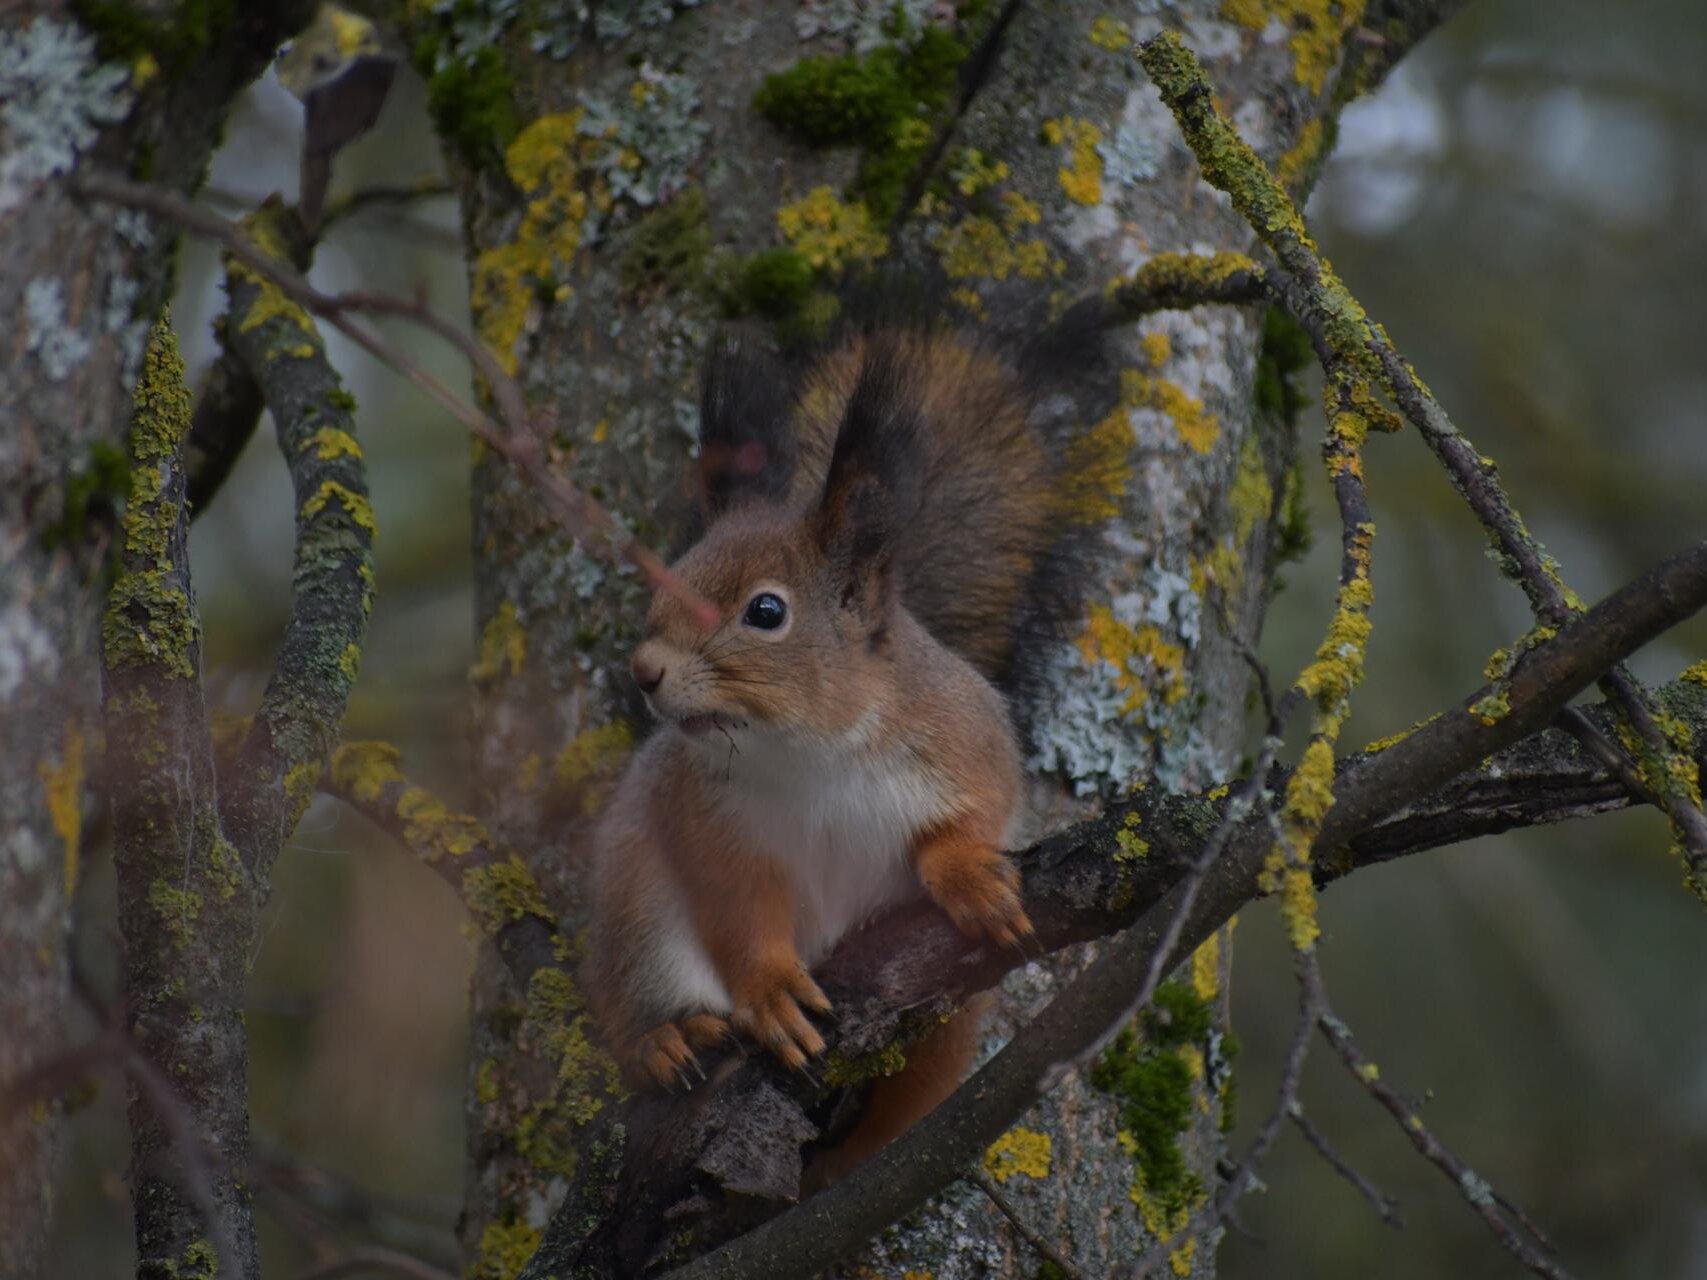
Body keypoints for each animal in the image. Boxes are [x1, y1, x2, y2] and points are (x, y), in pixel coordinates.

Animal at [587, 319, 1092, 1174]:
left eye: (765, 611)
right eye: (669, 576)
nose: (643, 671)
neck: (805, 750)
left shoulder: (963, 736)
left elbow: (981, 809)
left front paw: (968, 875)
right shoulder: (707, 822)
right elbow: (740, 915)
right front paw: (770, 991)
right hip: (633, 904)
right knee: (639, 995)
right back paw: (667, 1038)